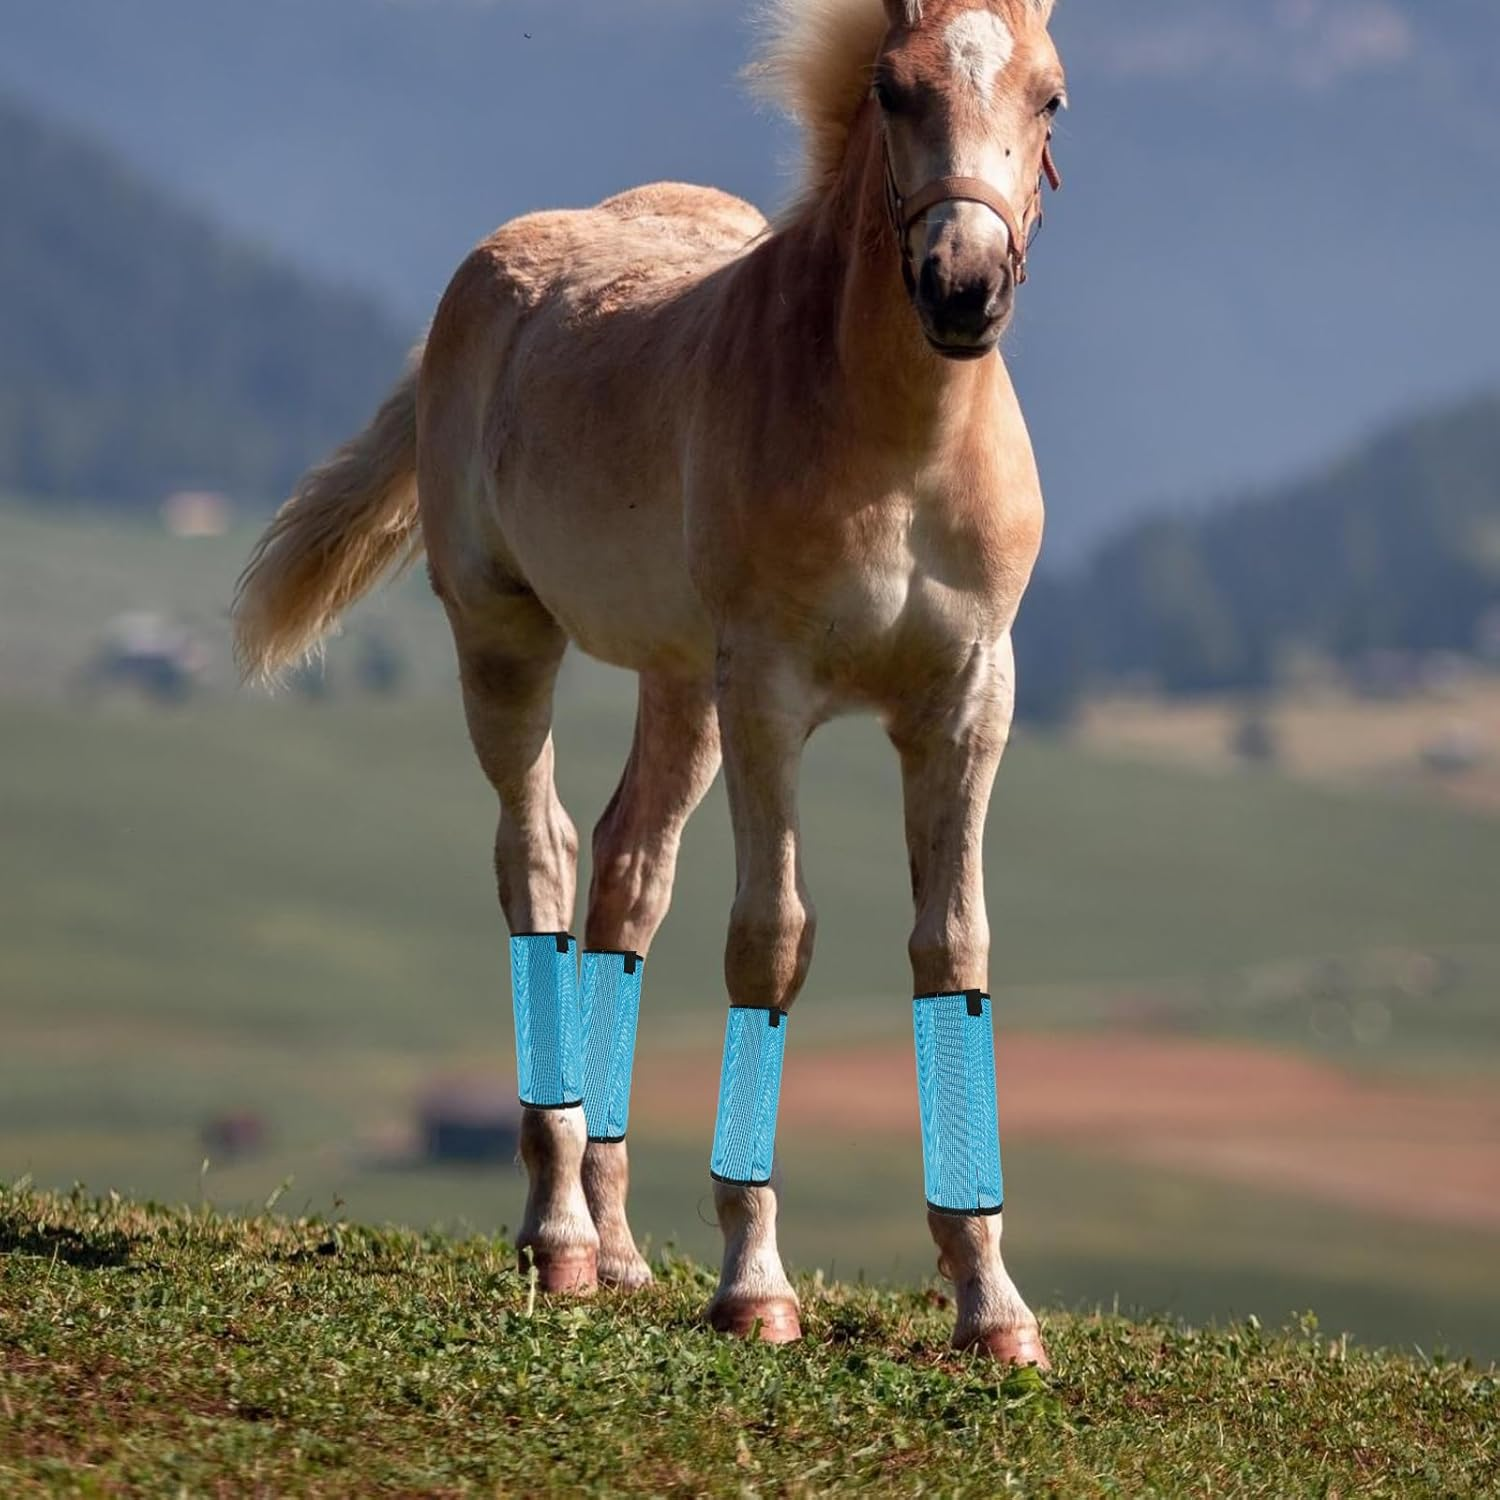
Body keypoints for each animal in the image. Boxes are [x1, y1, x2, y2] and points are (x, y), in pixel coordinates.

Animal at [234, 0, 1067, 1368]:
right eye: (892, 89)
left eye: (1051, 98)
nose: (964, 288)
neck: (894, 445)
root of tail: (484, 276)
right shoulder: (771, 693)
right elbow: (770, 945)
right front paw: (754, 1289)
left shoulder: (966, 699)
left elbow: (953, 950)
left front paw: (992, 1305)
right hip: (509, 638)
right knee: (542, 858)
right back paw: (560, 1238)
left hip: (682, 687)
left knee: (627, 878)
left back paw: (619, 1247)